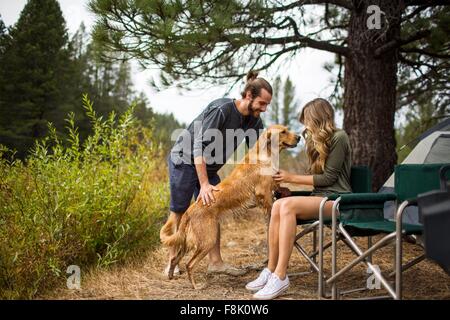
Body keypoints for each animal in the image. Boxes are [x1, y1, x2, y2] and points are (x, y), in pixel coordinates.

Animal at [160, 124, 300, 288]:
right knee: (189, 264)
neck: (267, 154)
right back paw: (196, 286)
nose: (299, 137)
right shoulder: (263, 193)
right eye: (283, 132)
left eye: (287, 129)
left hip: (189, 241)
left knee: (175, 258)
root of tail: (189, 210)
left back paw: (171, 276)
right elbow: (271, 206)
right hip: (207, 239)